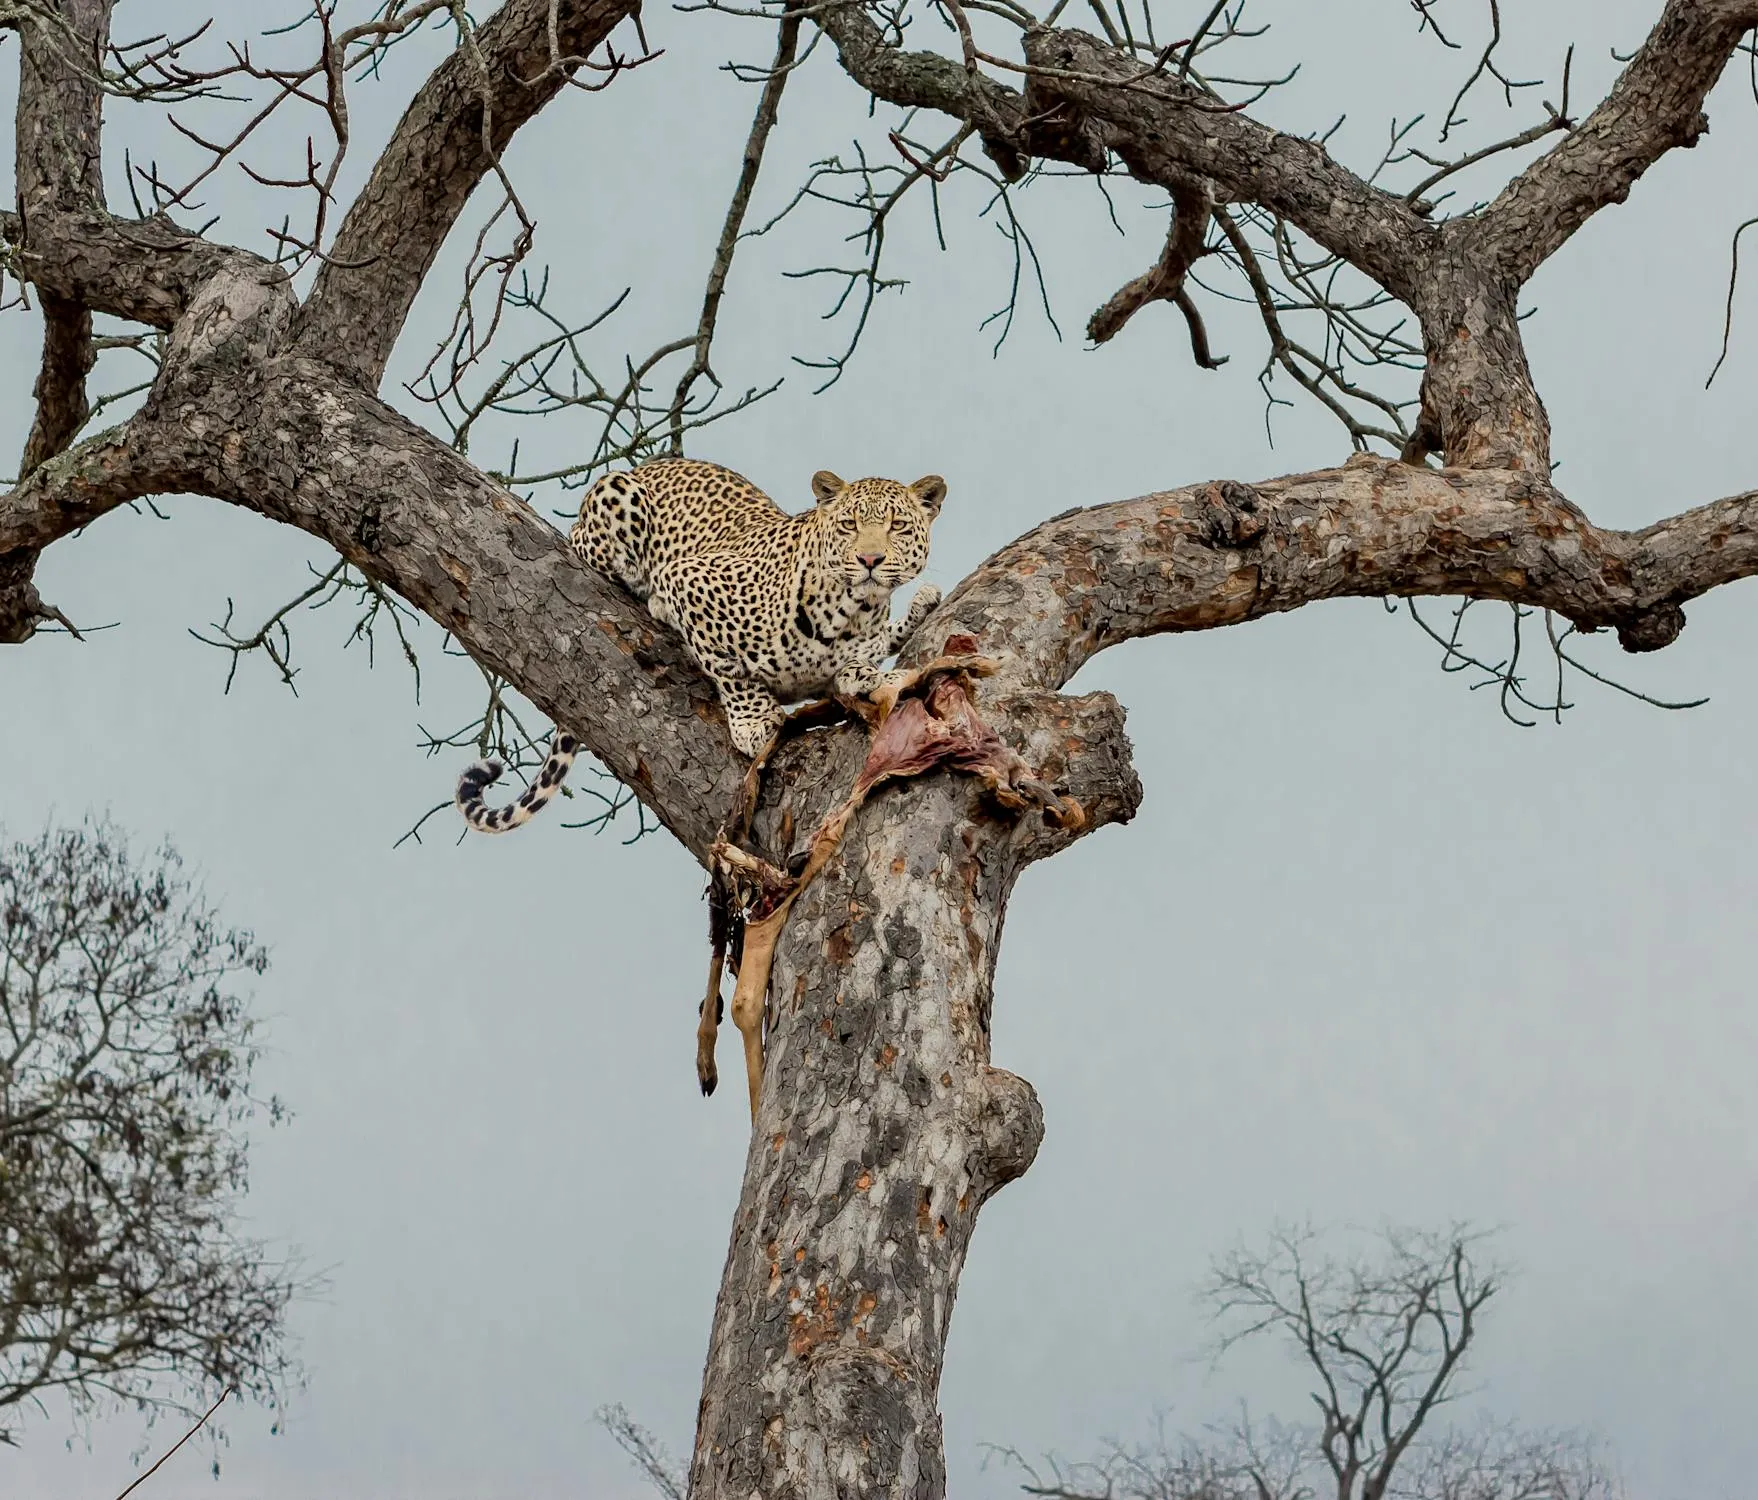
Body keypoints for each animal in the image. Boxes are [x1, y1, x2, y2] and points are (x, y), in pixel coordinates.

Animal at [456, 458, 947, 834]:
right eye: (849, 524)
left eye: (897, 526)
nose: (870, 560)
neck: (852, 610)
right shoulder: (690, 578)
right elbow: (731, 672)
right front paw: (754, 721)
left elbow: (857, 670)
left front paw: (875, 672)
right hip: (615, 493)